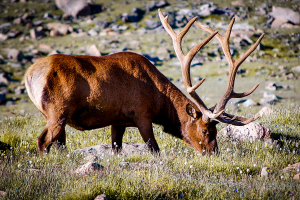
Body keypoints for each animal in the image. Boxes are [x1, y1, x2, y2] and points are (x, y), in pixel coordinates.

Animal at [24, 9, 264, 156]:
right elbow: (154, 149)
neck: (160, 101)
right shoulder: (141, 114)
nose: (214, 153)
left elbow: (116, 148)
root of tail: (29, 75)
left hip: (54, 116)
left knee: (58, 144)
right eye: (206, 131)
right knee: (43, 141)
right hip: (58, 110)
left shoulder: (117, 120)